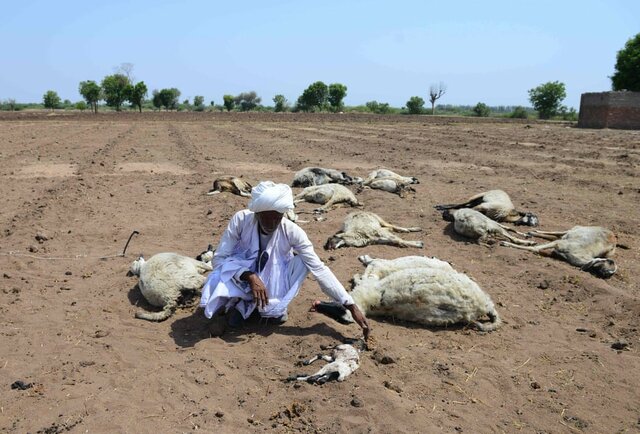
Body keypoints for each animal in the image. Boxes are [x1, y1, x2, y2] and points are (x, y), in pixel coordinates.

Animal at [312, 254, 502, 332]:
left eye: (338, 309)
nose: (316, 305)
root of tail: (483, 306)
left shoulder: (373, 277)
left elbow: (368, 271)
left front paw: (358, 273)